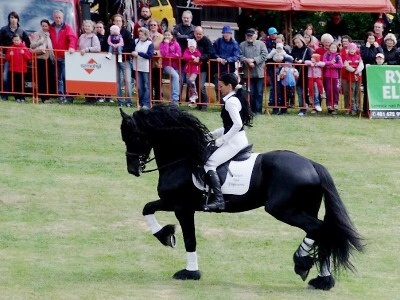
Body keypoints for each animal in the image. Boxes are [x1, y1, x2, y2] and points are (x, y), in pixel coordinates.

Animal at [120, 105, 364, 290]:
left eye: (133, 136)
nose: (132, 169)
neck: (184, 158)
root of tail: (312, 164)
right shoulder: (177, 205)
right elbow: (147, 208)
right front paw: (167, 236)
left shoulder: (181, 206)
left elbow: (187, 237)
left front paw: (187, 268)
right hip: (306, 207)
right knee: (322, 233)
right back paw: (322, 280)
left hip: (282, 209)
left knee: (318, 229)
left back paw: (301, 264)